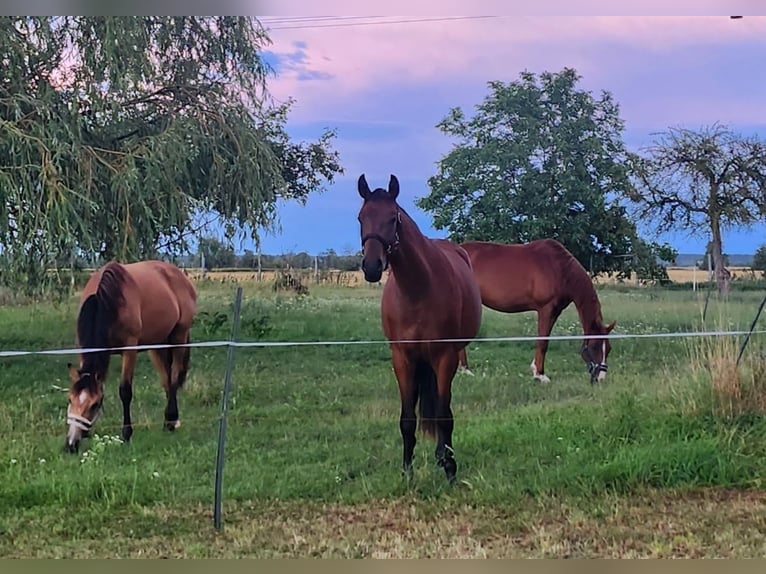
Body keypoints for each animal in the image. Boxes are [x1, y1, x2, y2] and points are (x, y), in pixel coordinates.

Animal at [64, 260, 198, 454]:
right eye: (70, 399)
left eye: (95, 404)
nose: (71, 445)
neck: (108, 300)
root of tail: (180, 275)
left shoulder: (130, 349)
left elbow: (125, 391)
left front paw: (126, 434)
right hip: (157, 346)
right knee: (166, 381)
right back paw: (170, 422)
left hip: (178, 337)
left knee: (173, 378)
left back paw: (170, 422)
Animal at [358, 173, 480, 484]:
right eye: (361, 217)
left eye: (393, 218)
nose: (372, 266)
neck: (417, 291)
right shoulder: (402, 358)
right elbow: (407, 419)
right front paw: (407, 472)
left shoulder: (445, 357)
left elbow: (444, 415)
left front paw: (450, 469)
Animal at [456, 241, 616, 384]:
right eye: (595, 347)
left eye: (609, 349)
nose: (600, 379)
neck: (560, 269)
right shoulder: (545, 309)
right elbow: (543, 342)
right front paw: (540, 375)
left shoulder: (555, 312)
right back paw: (465, 369)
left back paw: (464, 369)